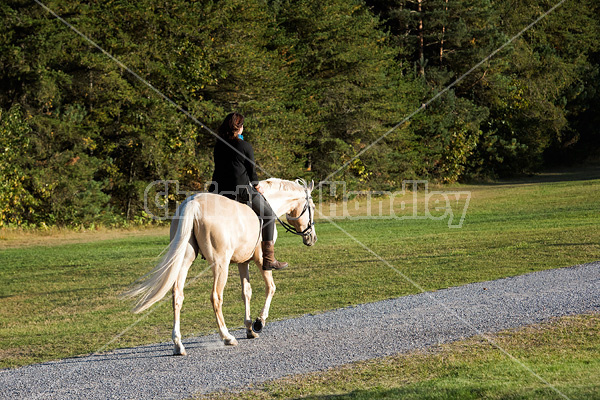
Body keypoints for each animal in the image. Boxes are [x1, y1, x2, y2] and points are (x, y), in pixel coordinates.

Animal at [124, 177, 316, 354]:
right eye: (312, 207)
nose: (312, 238)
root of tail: (194, 203)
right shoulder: (261, 259)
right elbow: (271, 288)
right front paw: (259, 322)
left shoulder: (243, 262)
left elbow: (246, 292)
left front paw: (249, 328)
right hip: (220, 264)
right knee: (216, 296)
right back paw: (227, 337)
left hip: (185, 259)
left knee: (177, 295)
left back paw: (178, 344)